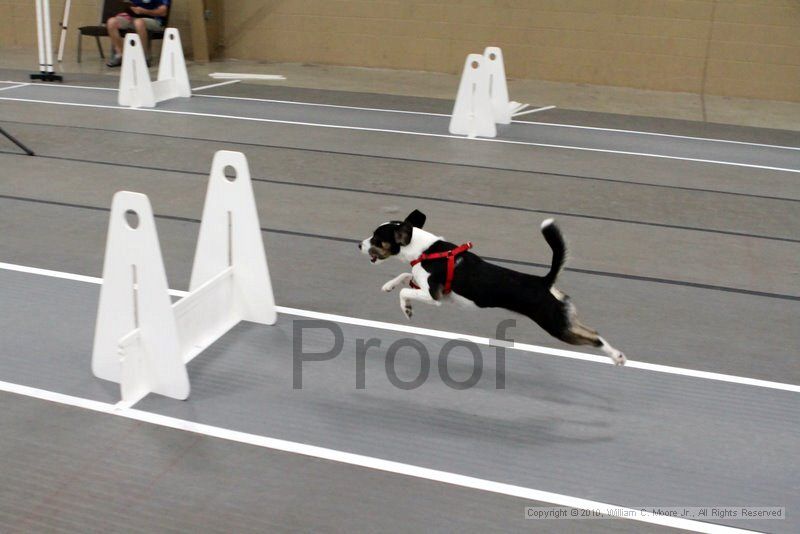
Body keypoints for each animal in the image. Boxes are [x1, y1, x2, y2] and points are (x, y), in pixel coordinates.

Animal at [360, 211, 628, 366]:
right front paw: (388, 285)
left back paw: (617, 356)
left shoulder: (433, 296)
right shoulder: (432, 289)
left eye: (376, 239)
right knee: (592, 330)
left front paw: (406, 309)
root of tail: (545, 281)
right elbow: (405, 276)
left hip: (555, 326)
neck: (426, 251)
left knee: (594, 338)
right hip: (563, 319)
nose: (359, 245)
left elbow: (405, 290)